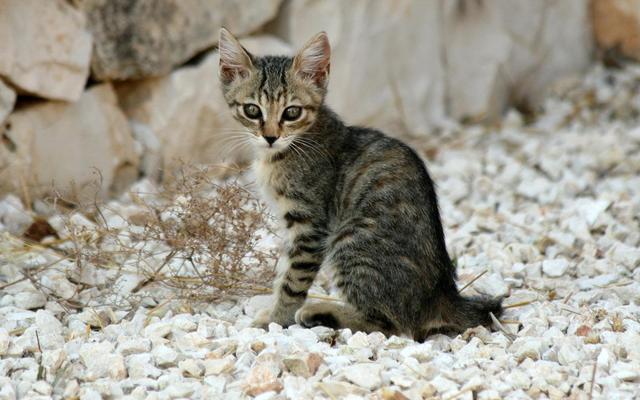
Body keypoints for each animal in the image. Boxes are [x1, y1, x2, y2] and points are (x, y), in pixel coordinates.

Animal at [218, 28, 503, 341]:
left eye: (292, 112)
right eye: (252, 110)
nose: (270, 137)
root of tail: (443, 295)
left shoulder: (310, 224)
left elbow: (292, 279)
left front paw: (276, 318)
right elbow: (283, 271)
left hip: (351, 241)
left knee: (390, 325)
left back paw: (321, 313)